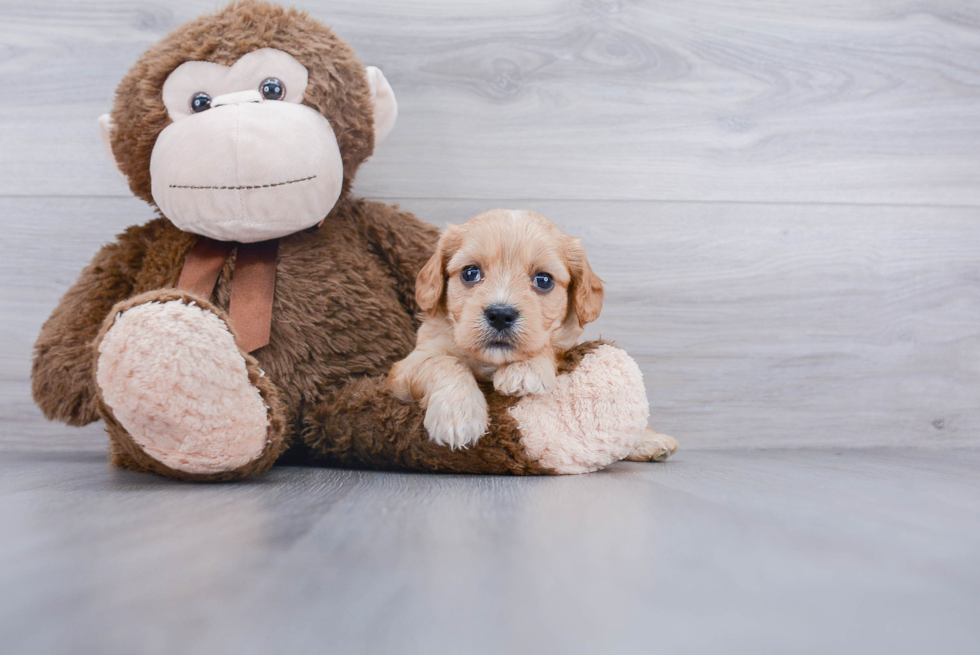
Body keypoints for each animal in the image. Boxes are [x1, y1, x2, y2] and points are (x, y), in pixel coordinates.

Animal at [384, 210, 600, 452]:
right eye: (470, 273)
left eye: (544, 280)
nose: (500, 315)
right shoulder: (406, 366)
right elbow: (445, 362)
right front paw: (458, 416)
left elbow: (547, 345)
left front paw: (525, 368)